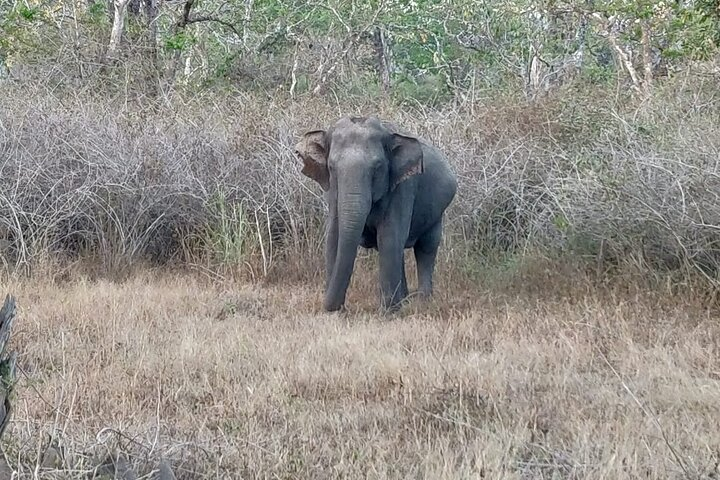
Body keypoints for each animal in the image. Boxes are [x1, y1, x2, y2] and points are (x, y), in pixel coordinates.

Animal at [295, 116, 457, 312]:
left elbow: (389, 237)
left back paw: (422, 300)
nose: (335, 306)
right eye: (331, 167)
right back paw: (404, 299)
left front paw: (389, 312)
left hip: (437, 213)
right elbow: (334, 237)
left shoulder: (402, 188)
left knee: (426, 247)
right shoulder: (332, 194)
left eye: (378, 167)